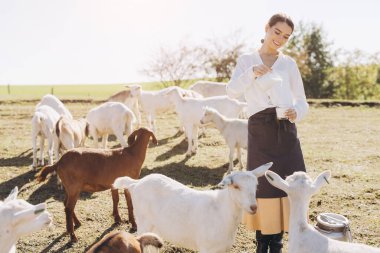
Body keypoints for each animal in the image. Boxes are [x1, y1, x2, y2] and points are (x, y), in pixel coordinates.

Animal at [113, 162, 274, 253]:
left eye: (256, 185)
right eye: (236, 186)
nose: (253, 207)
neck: (221, 211)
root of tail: (135, 183)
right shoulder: (207, 248)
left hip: (155, 226)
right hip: (143, 221)